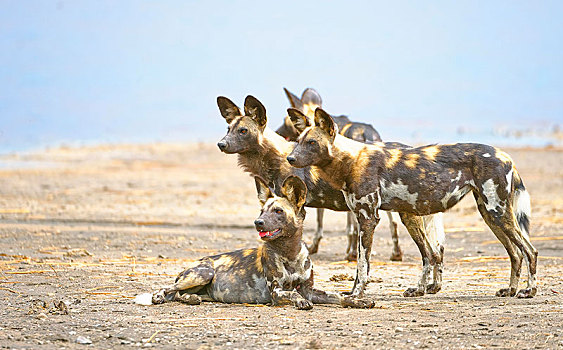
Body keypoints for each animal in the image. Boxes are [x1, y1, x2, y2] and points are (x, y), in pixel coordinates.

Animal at [135, 176, 374, 310]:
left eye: (278, 211)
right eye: (261, 211)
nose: (257, 222)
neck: (290, 255)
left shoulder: (310, 290)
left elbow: (340, 296)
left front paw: (358, 301)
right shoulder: (277, 292)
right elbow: (292, 293)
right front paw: (300, 302)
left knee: (179, 294)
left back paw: (192, 299)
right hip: (203, 273)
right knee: (168, 288)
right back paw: (158, 296)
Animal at [218, 93, 448, 296]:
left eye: (243, 131)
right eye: (228, 129)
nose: (221, 144)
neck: (276, 157)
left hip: (407, 214)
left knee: (428, 252)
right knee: (437, 251)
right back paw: (432, 287)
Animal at [288, 107, 540, 298]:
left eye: (312, 143)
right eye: (298, 141)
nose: (290, 158)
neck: (350, 160)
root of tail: (505, 156)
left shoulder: (368, 219)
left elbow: (362, 265)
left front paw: (357, 294)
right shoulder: (367, 218)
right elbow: (418, 257)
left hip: (496, 212)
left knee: (530, 251)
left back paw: (529, 291)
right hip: (490, 215)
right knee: (515, 254)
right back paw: (510, 290)